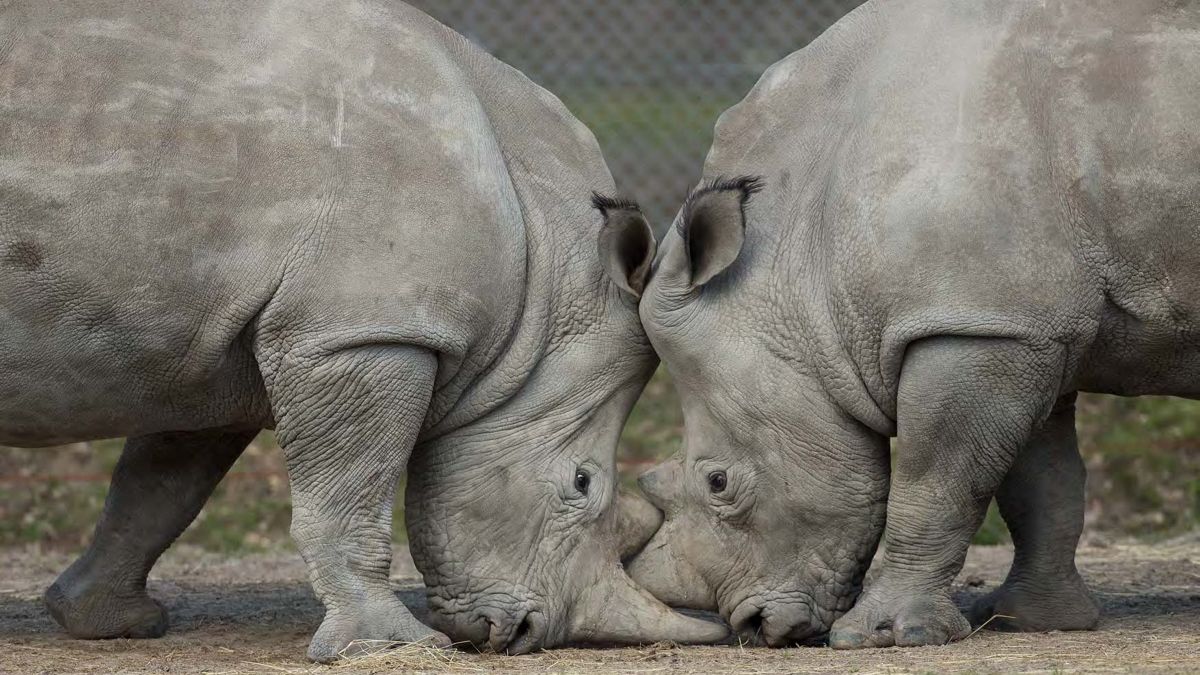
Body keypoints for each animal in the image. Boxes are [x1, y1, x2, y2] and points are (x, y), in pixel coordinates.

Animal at [0, 0, 725, 661]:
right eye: (582, 483)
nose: (522, 636)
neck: (545, 278)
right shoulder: (362, 330)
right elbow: (351, 491)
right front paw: (387, 644)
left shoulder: (213, 350)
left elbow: (160, 488)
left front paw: (107, 621)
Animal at [621, 0, 1200, 649]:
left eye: (718, 483)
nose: (756, 627)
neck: (797, 245)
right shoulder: (1017, 320)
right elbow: (1041, 485)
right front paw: (1030, 619)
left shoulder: (971, 324)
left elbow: (934, 482)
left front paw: (886, 635)